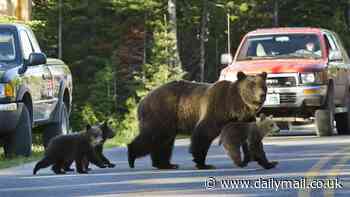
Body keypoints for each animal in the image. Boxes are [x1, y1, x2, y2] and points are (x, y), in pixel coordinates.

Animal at [127, 71, 266, 169]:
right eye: (251, 85)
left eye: (263, 85)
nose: (262, 95)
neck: (235, 107)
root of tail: (142, 101)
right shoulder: (216, 109)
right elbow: (203, 133)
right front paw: (203, 163)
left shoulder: (246, 119)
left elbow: (253, 138)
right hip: (161, 113)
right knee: (153, 136)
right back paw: (132, 156)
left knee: (163, 141)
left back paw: (166, 164)